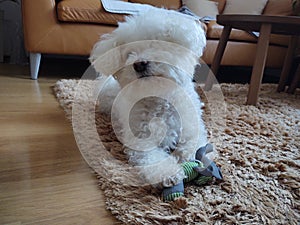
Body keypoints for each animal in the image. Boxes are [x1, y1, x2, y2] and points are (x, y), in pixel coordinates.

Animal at [90, 7, 210, 188]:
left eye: (157, 44)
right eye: (129, 53)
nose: (139, 64)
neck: (159, 97)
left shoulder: (191, 128)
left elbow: (194, 145)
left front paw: (191, 158)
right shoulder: (141, 140)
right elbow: (153, 159)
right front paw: (169, 173)